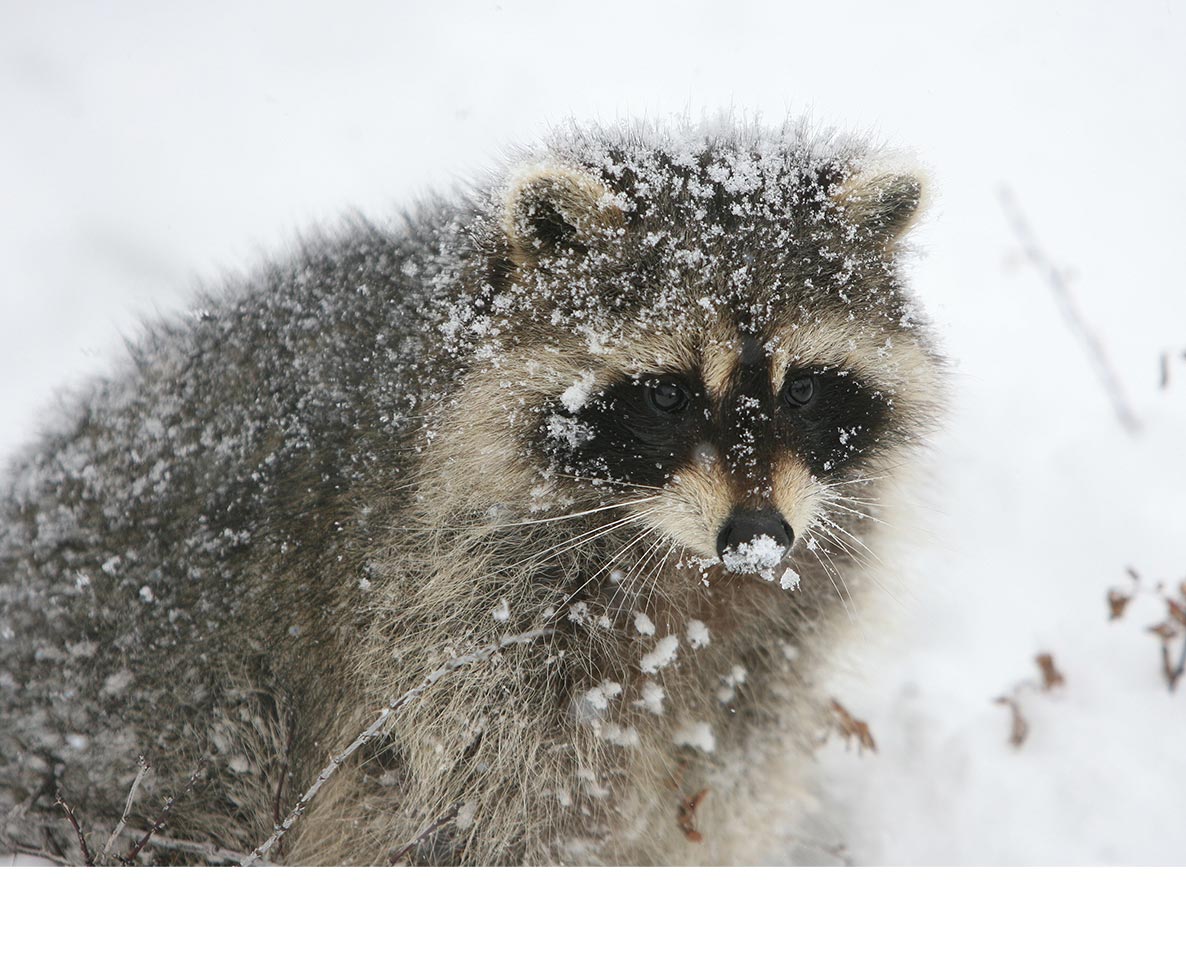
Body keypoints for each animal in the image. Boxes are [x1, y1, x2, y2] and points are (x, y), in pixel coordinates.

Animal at [0, 119, 944, 863]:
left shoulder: (762, 661)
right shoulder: (439, 630)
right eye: (668, 396)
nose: (756, 537)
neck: (681, 567)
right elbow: (477, 816)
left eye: (805, 391)